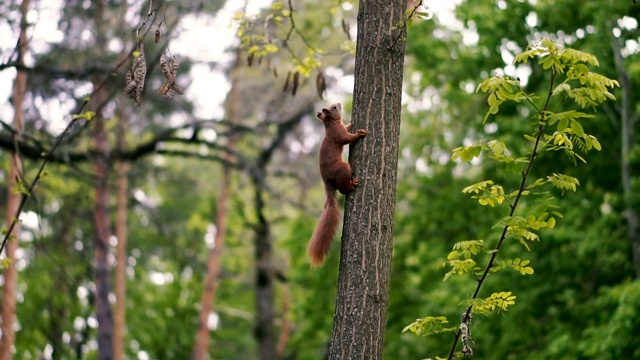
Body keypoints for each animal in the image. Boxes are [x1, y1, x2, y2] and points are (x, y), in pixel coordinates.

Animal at [308, 102, 368, 266]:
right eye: (334, 108)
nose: (339, 104)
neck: (331, 124)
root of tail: (327, 182)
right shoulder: (338, 134)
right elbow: (346, 138)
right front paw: (359, 133)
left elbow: (347, 128)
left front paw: (351, 122)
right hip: (343, 169)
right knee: (342, 189)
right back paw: (351, 185)